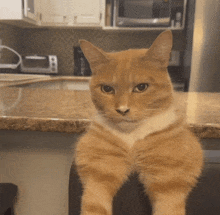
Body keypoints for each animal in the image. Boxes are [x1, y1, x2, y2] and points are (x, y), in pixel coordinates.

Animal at [75, 30, 204, 215]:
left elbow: (169, 207)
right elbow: (94, 205)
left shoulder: (169, 180)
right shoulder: (99, 173)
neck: (133, 137)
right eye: (107, 89)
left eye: (141, 87)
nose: (122, 110)